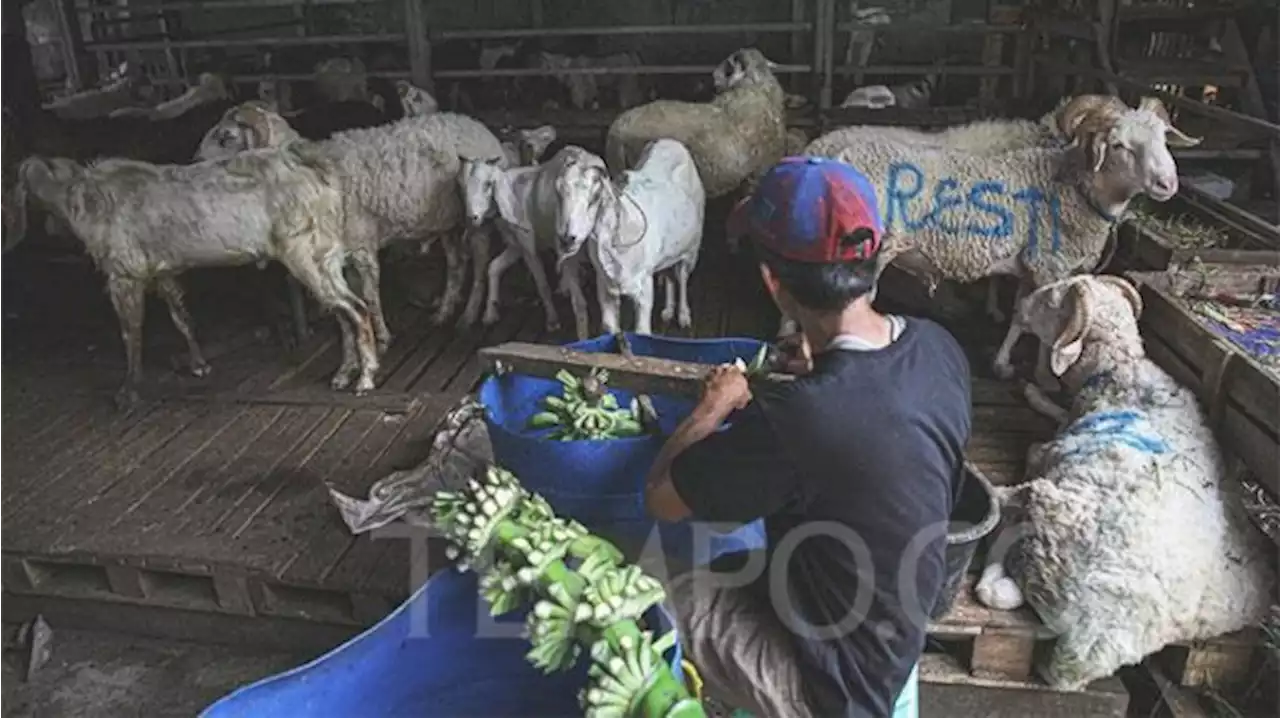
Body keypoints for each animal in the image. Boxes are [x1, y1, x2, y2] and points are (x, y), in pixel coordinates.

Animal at [555, 140, 706, 337]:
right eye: (558, 192)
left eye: (594, 196)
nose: (567, 238)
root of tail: (670, 142)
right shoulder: (605, 287)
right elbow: (610, 328)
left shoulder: (644, 287)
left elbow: (642, 331)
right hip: (667, 251)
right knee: (668, 274)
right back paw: (668, 310)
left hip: (691, 248)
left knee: (682, 276)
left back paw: (683, 315)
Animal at [773, 96, 1203, 340]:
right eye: (1118, 145)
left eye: (1164, 139)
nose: (1168, 184)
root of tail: (824, 152)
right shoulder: (1048, 263)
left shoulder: (1028, 260)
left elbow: (1019, 310)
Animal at [972, 273, 1274, 691]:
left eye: (1051, 302)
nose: (1020, 307)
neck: (1118, 368)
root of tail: (1099, 641)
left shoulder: (1052, 448)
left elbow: (1044, 434)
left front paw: (1034, 393)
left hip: (1048, 508)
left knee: (999, 558)